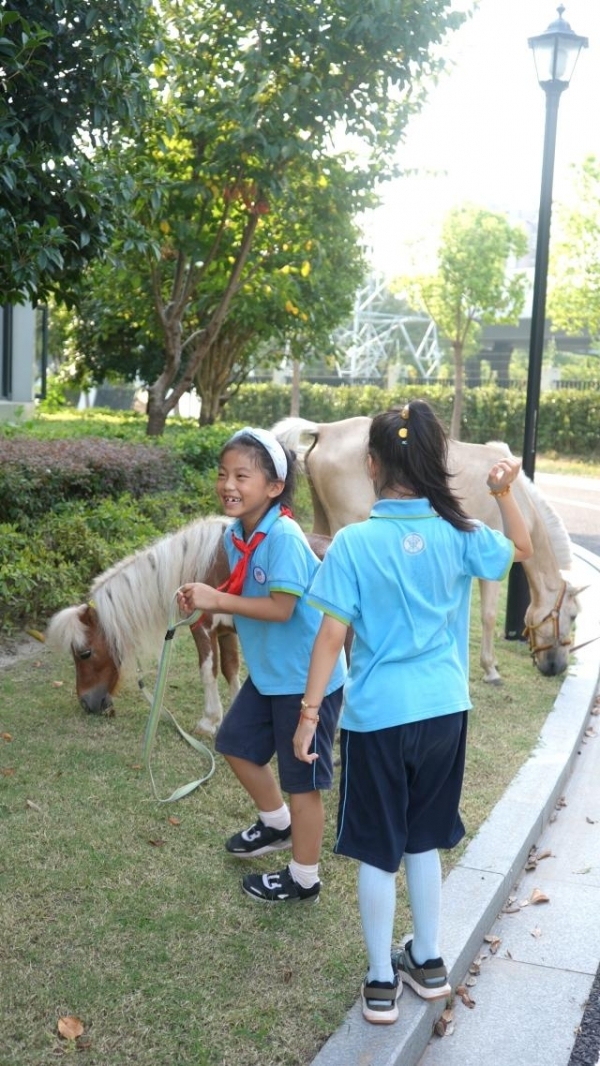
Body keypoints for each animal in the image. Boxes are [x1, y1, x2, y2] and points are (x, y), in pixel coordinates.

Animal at [272, 415, 584, 682]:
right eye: (572, 616)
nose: (557, 667)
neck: (518, 498)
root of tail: (325, 429)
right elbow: (488, 615)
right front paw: (490, 669)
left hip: (322, 522)